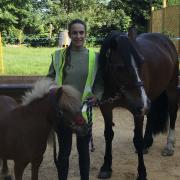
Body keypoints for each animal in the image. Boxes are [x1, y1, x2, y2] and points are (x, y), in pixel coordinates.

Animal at [97, 27, 179, 179]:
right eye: (119, 67)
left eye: (142, 62)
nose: (143, 104)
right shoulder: (106, 107)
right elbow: (108, 134)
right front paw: (106, 166)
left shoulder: (138, 112)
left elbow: (137, 139)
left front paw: (142, 172)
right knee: (151, 115)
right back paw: (148, 143)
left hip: (170, 90)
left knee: (173, 114)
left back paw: (169, 146)